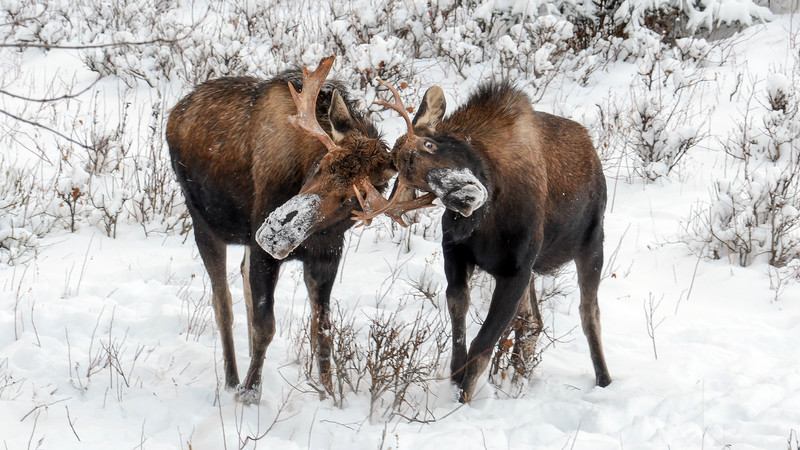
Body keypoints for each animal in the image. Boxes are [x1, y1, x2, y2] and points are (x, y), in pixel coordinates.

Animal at [166, 57, 410, 404]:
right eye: (321, 165)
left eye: (355, 198)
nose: (276, 231)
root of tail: (176, 111)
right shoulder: (263, 252)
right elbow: (265, 326)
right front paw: (250, 394)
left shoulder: (327, 257)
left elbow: (322, 330)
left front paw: (329, 395)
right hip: (204, 223)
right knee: (222, 303)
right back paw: (232, 381)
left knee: (241, 284)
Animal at [356, 80, 612, 400]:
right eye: (417, 183)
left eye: (429, 144)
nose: (461, 196)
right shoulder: (456, 253)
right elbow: (459, 314)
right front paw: (456, 377)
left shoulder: (517, 270)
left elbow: (482, 345)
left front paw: (462, 400)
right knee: (533, 321)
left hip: (592, 246)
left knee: (589, 314)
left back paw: (604, 380)